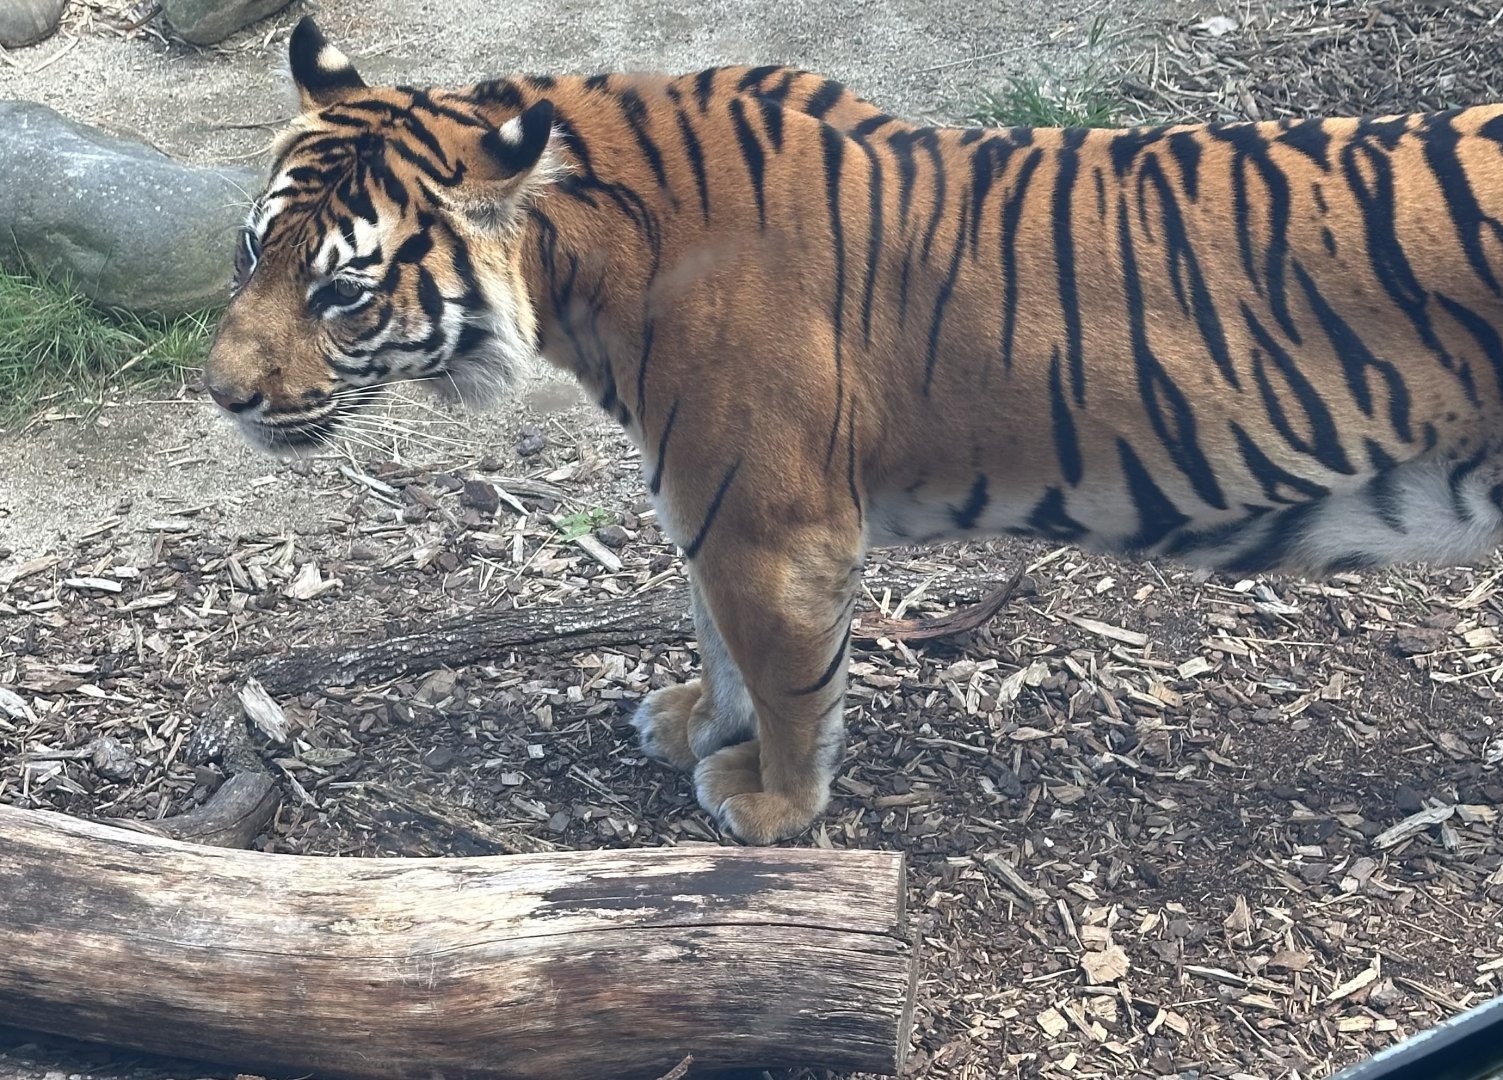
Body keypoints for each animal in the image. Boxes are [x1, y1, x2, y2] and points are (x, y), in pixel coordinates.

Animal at [205, 17, 1503, 844]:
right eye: (250, 252)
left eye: (343, 292)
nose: (220, 394)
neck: (586, 271)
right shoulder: (701, 501)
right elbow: (716, 637)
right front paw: (693, 722)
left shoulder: (770, 521)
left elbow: (788, 678)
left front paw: (772, 805)